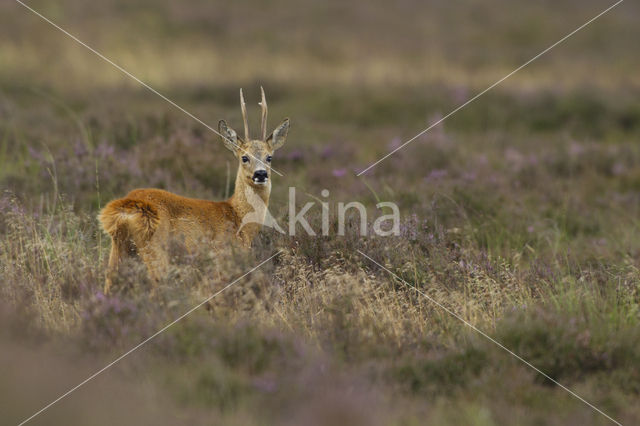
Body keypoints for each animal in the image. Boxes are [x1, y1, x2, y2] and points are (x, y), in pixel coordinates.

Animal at [98, 88, 290, 294]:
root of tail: (128, 205)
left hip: (119, 249)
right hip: (155, 247)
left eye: (269, 157)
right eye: (244, 158)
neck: (238, 218)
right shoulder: (221, 256)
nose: (260, 174)